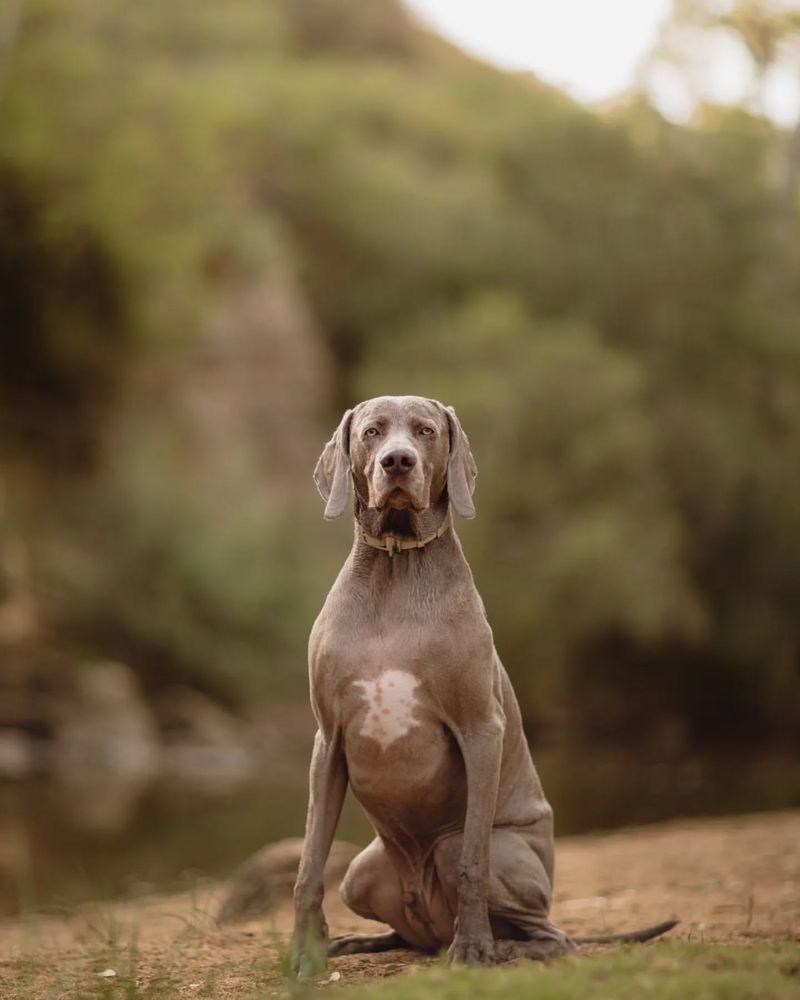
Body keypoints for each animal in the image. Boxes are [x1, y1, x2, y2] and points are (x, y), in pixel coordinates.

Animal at [288, 394, 676, 972]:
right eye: (372, 431)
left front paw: (473, 948)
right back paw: (363, 941)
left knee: (552, 933)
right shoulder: (328, 741)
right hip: (360, 875)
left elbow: (473, 857)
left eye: (425, 431)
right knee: (405, 929)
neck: (395, 569)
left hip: (486, 862)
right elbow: (309, 865)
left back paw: (497, 945)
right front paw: (304, 955)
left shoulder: (480, 731)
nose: (397, 462)